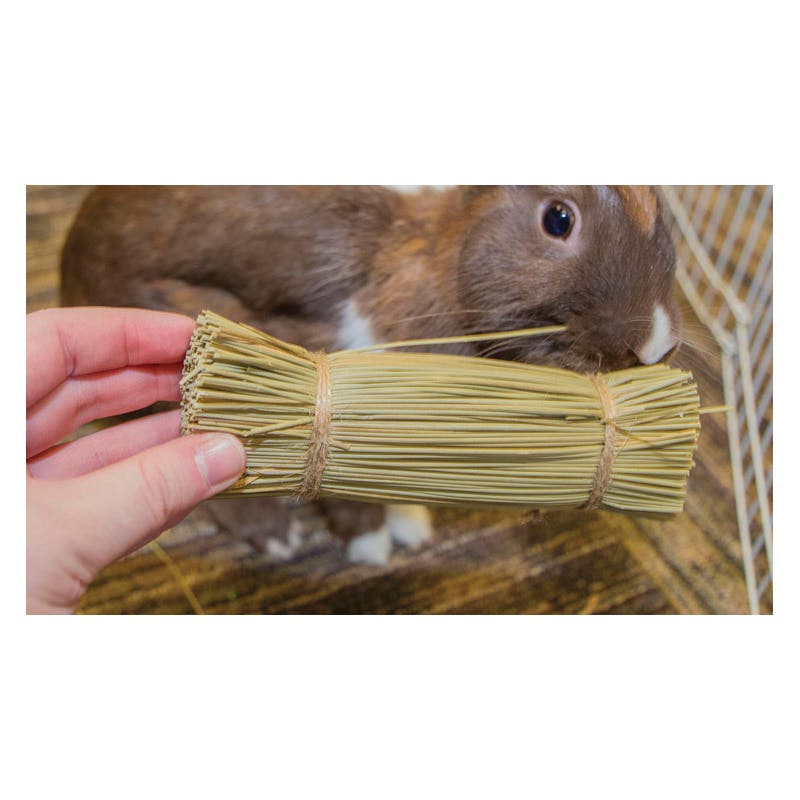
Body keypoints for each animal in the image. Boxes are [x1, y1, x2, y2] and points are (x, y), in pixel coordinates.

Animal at [60, 185, 680, 564]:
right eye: (558, 218)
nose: (655, 342)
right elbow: (344, 495)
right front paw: (372, 546)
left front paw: (410, 526)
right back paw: (277, 537)